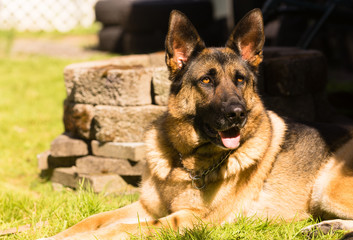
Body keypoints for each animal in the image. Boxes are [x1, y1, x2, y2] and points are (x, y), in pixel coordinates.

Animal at [39, 8, 353, 239]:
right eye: (206, 81)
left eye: (240, 80)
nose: (238, 113)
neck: (183, 162)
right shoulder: (145, 206)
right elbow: (91, 220)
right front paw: (52, 234)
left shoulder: (187, 220)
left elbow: (118, 228)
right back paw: (325, 227)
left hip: (326, 188)